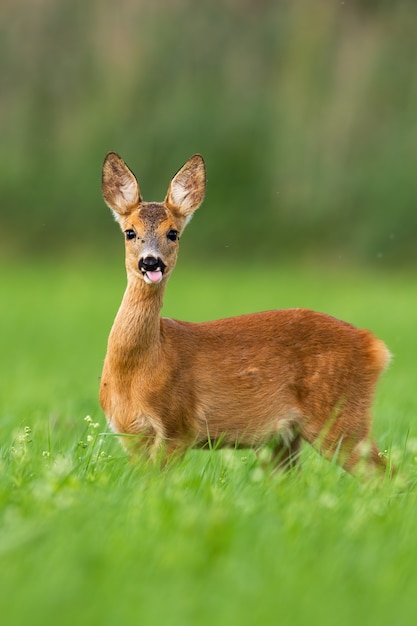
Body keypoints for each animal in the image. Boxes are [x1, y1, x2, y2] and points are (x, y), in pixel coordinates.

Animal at [100, 151, 390, 472]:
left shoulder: (178, 426)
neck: (137, 370)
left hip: (340, 416)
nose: (151, 262)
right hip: (286, 438)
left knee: (387, 472)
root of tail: (374, 346)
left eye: (173, 233)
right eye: (130, 232)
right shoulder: (129, 434)